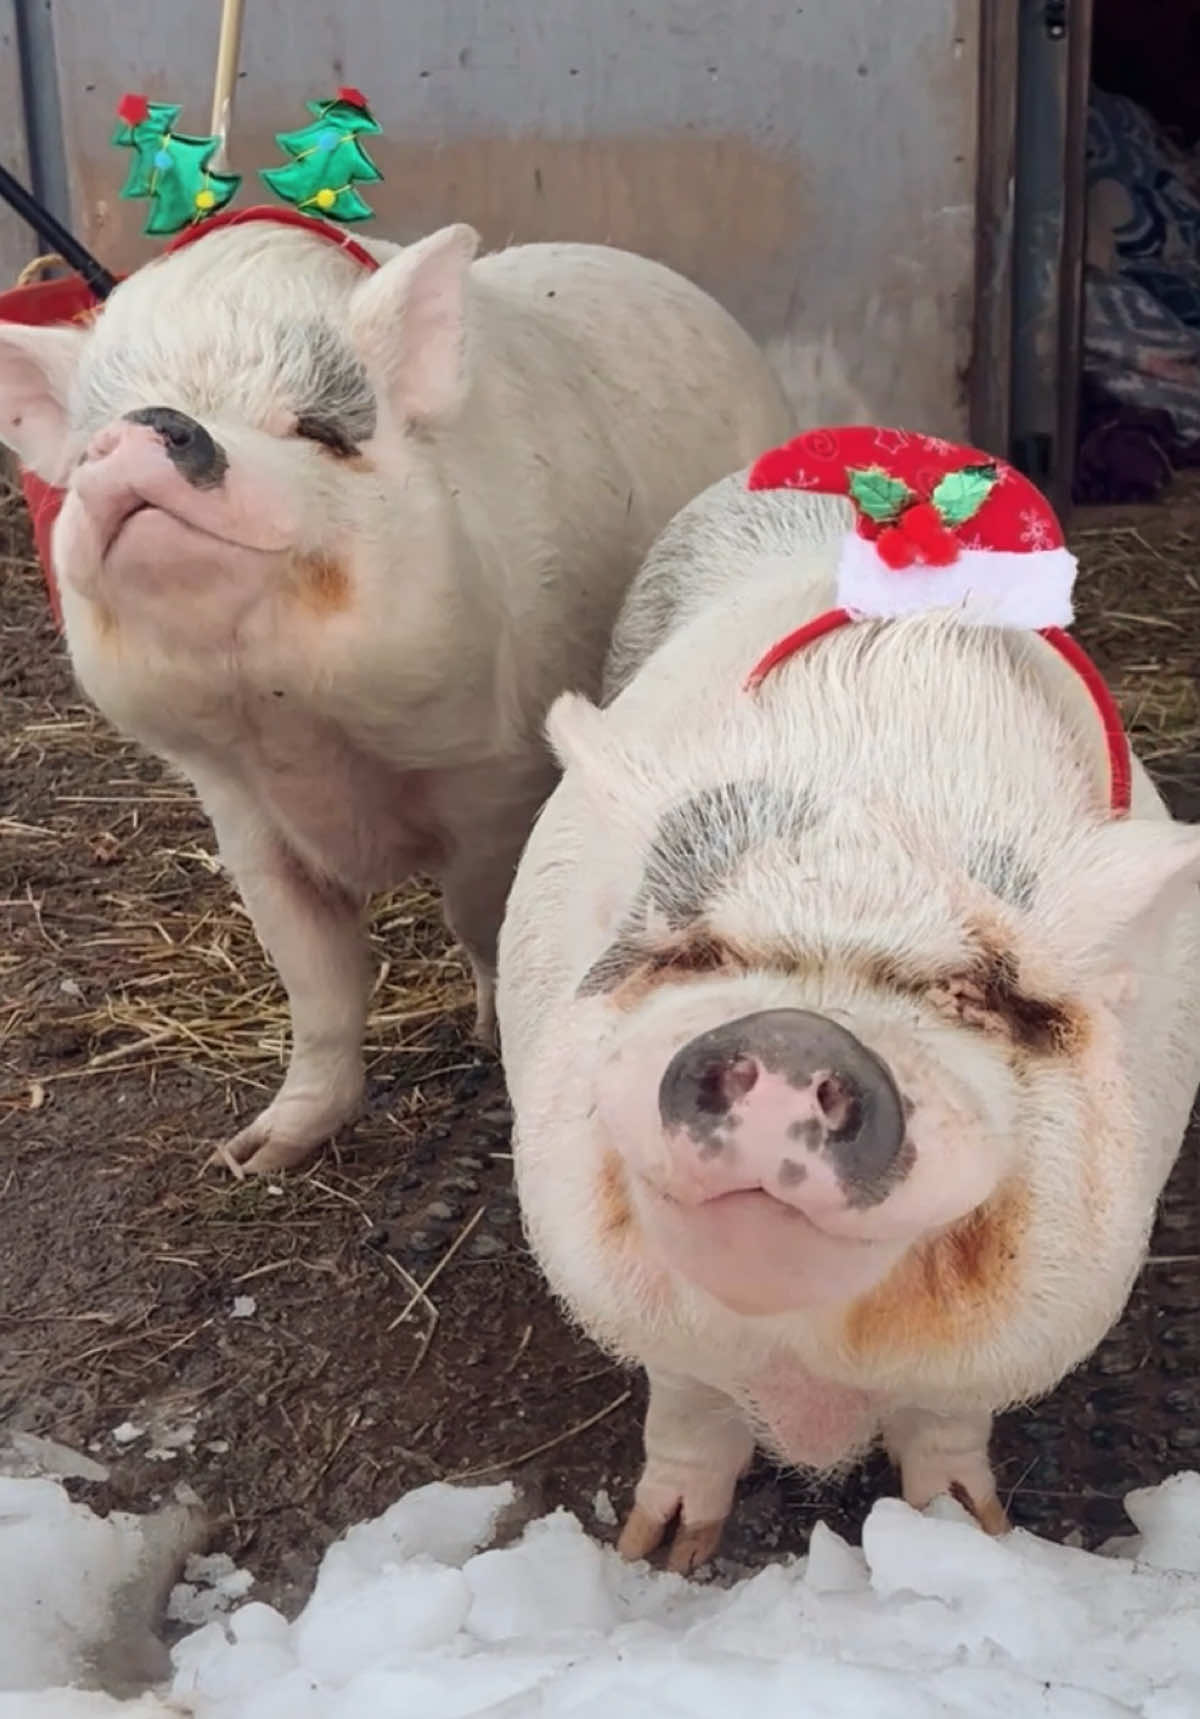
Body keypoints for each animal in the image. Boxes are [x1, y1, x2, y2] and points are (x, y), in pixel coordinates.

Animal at [0, 221, 790, 1175]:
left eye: (319, 429)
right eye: (88, 446)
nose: (153, 423)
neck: (299, 728)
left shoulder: (501, 779)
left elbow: (481, 916)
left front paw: (489, 1034)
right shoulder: (241, 813)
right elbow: (316, 981)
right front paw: (251, 1156)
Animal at [491, 460, 1196, 1574]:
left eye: (976, 994)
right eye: (698, 952)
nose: (795, 1034)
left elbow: (944, 1423)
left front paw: (967, 1534)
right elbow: (688, 1408)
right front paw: (660, 1558)